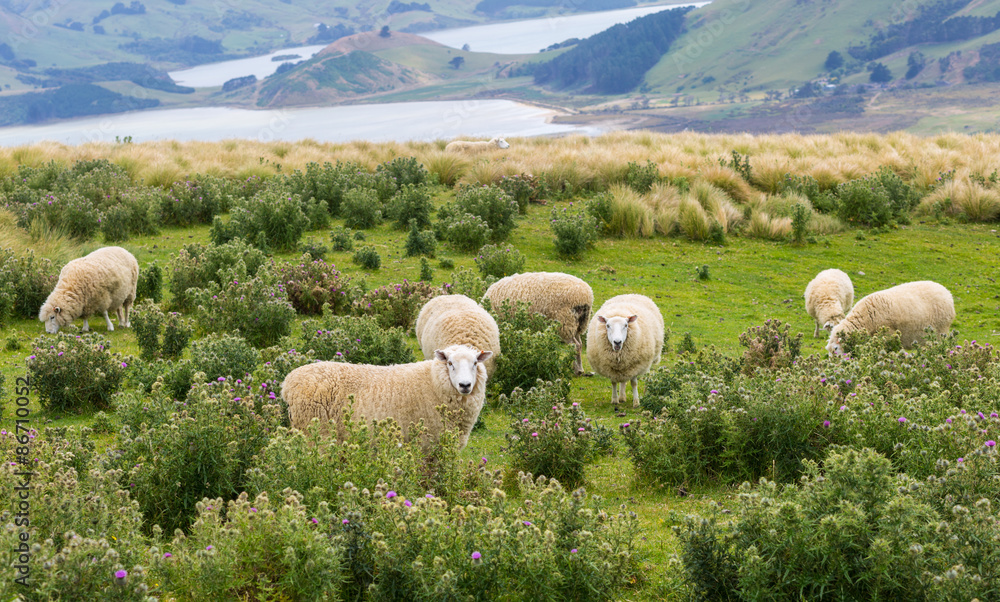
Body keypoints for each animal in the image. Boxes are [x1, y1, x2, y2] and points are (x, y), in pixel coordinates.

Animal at [281, 344, 493, 450]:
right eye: (450, 363)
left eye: (475, 363)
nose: (465, 385)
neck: (433, 382)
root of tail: (288, 382)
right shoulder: (427, 442)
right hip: (315, 432)